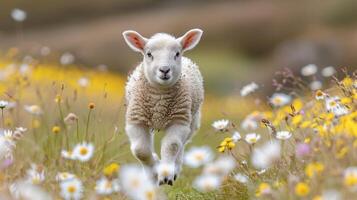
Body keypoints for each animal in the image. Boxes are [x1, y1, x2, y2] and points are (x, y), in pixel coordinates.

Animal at [122, 28, 203, 186]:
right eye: (149, 54)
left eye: (177, 53)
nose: (164, 70)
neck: (159, 99)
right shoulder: (136, 119)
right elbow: (141, 151)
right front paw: (153, 172)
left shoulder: (179, 120)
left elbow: (172, 145)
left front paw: (166, 175)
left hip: (192, 120)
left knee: (182, 144)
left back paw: (175, 169)